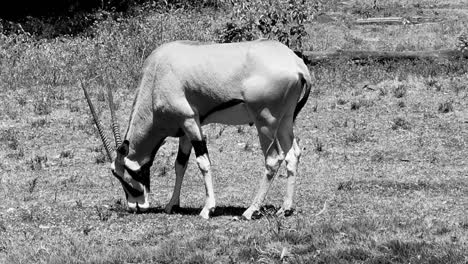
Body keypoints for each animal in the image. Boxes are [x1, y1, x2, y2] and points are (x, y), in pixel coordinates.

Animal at [82, 38, 312, 219]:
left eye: (120, 173)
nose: (135, 206)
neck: (157, 74)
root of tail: (297, 64)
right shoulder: (185, 129)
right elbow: (180, 164)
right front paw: (171, 205)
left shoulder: (190, 121)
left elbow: (203, 163)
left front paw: (207, 209)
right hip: (285, 120)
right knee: (292, 154)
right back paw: (285, 208)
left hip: (264, 122)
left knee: (272, 159)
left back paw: (250, 211)